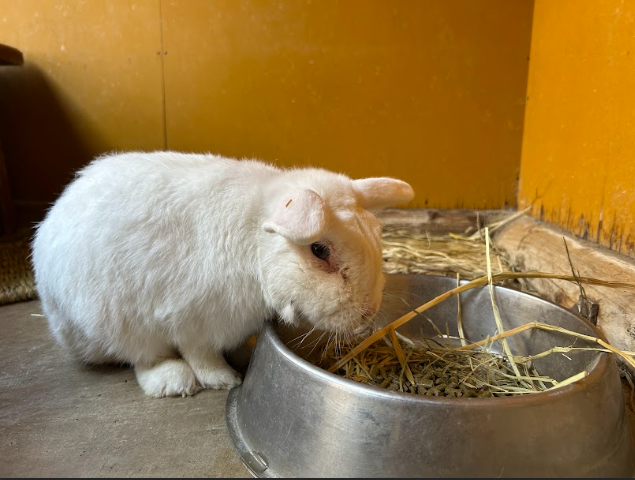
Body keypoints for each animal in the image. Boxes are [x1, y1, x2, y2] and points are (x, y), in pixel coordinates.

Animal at [31, 151, 415, 397]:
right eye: (319, 250)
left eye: (375, 234)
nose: (368, 312)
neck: (255, 239)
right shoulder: (193, 320)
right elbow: (201, 355)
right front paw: (225, 381)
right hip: (118, 320)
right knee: (143, 356)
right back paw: (173, 383)